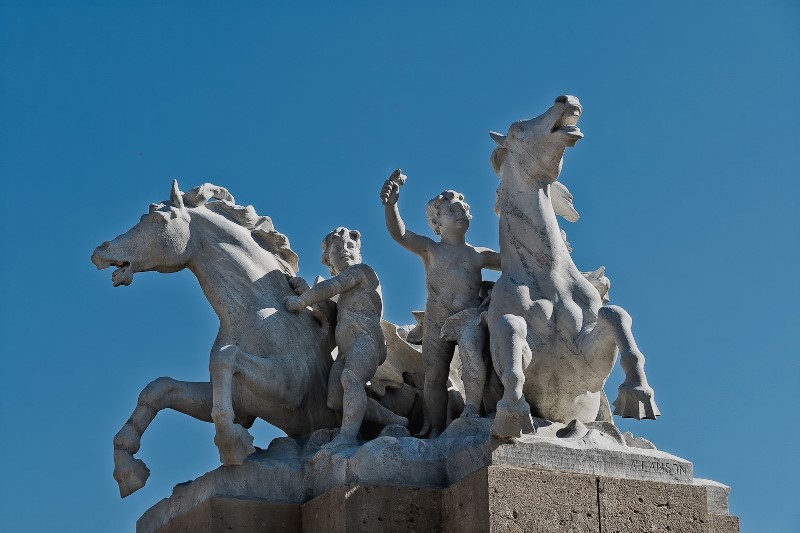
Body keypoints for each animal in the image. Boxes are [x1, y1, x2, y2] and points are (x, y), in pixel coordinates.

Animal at [91, 181, 338, 496]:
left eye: (156, 219)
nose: (101, 250)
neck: (260, 312)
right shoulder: (245, 401)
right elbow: (159, 388)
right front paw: (128, 468)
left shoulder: (290, 388)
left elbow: (224, 358)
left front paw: (232, 445)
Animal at [484, 95, 660, 436]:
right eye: (515, 130)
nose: (566, 99)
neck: (550, 279)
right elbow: (510, 330)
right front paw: (512, 414)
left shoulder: (587, 373)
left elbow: (615, 315)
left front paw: (638, 393)